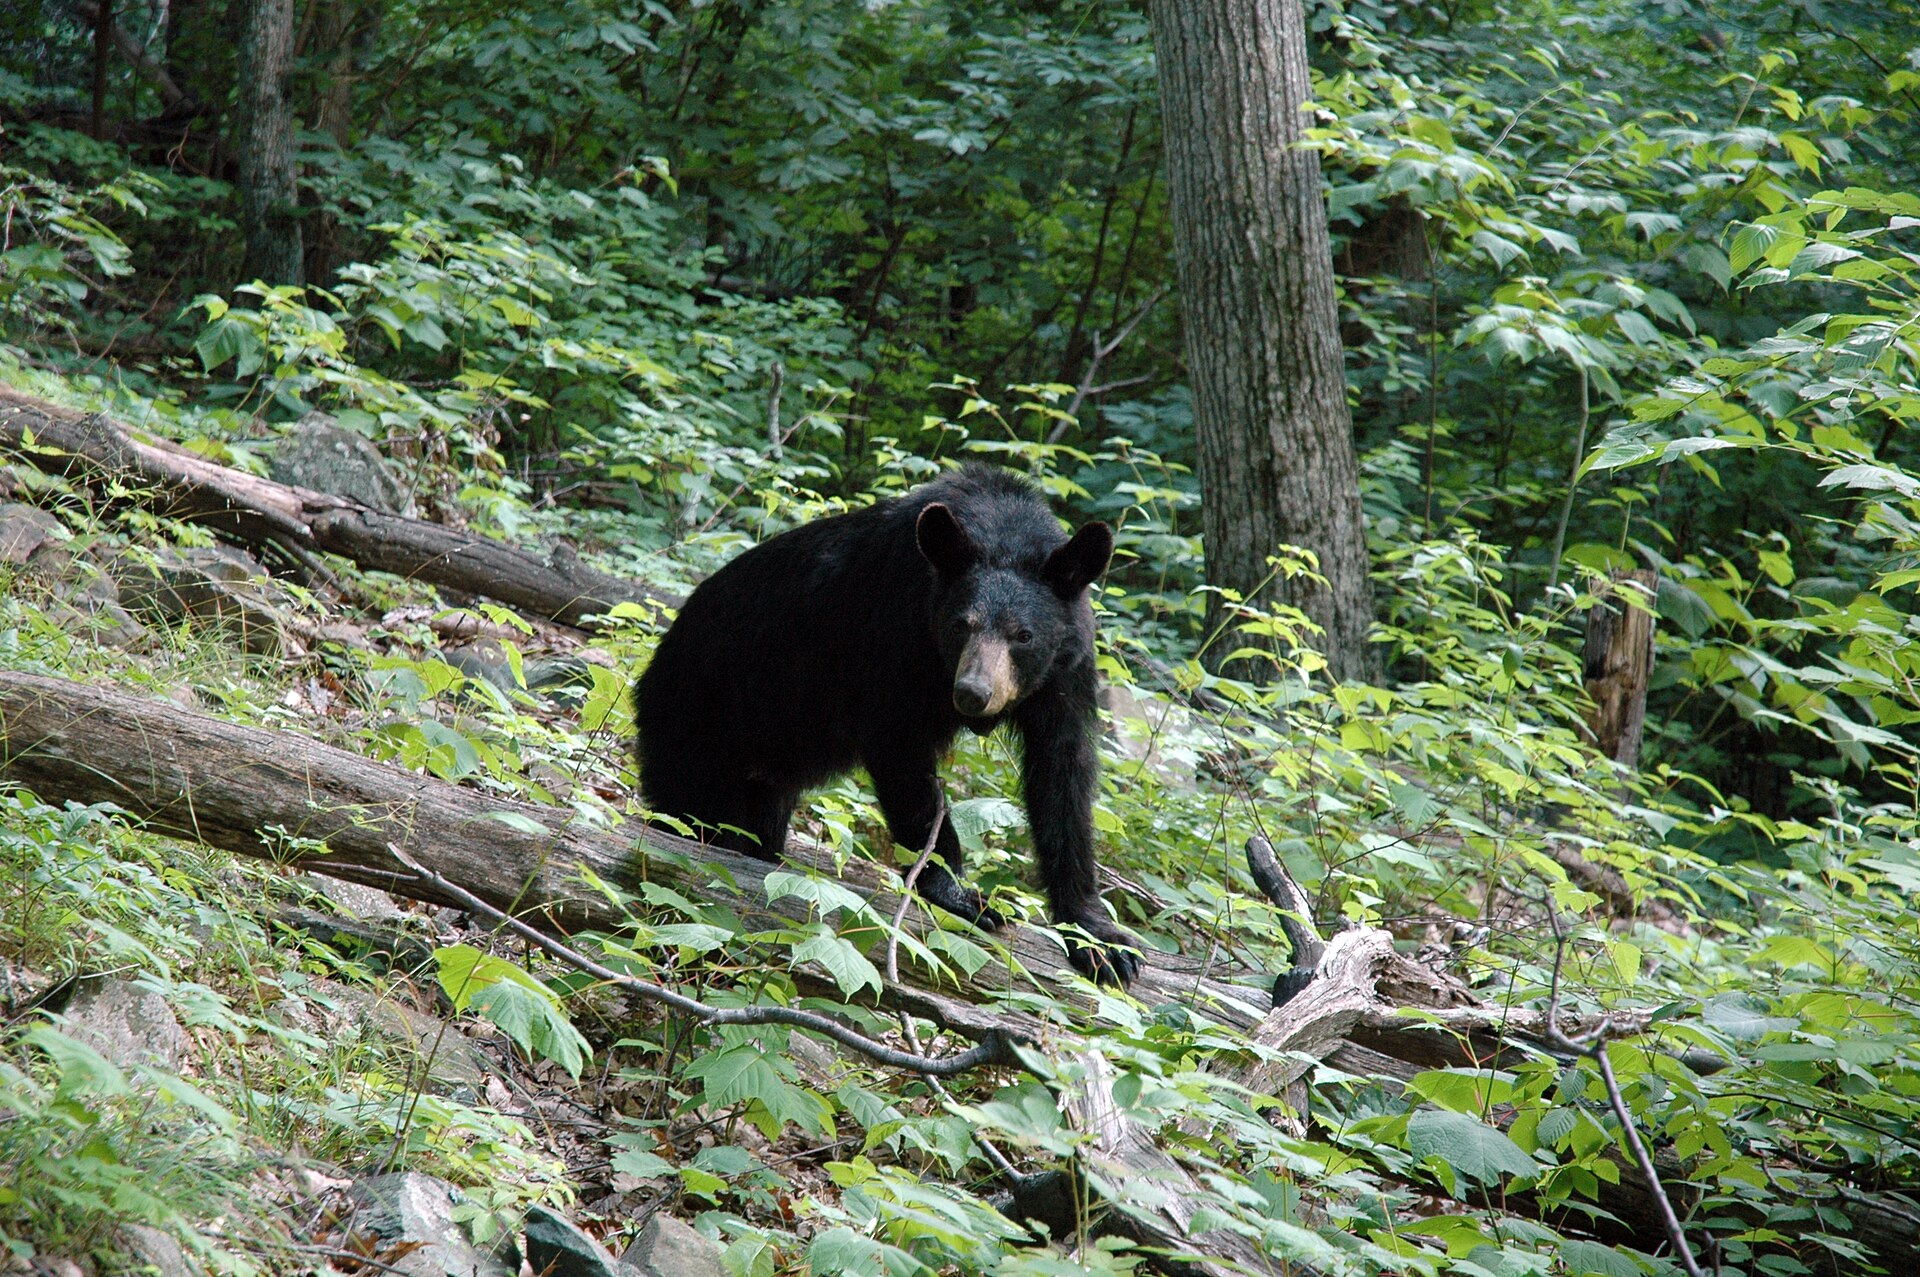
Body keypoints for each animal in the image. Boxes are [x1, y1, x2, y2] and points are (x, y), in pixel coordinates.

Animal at [634, 463, 1141, 985]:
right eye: (960, 625)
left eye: (1023, 635)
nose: (972, 693)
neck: (1002, 530)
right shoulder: (894, 632)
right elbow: (901, 753)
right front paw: (961, 893)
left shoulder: (1065, 671)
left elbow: (1062, 775)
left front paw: (1100, 940)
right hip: (697, 718)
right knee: (687, 803)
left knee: (755, 821)